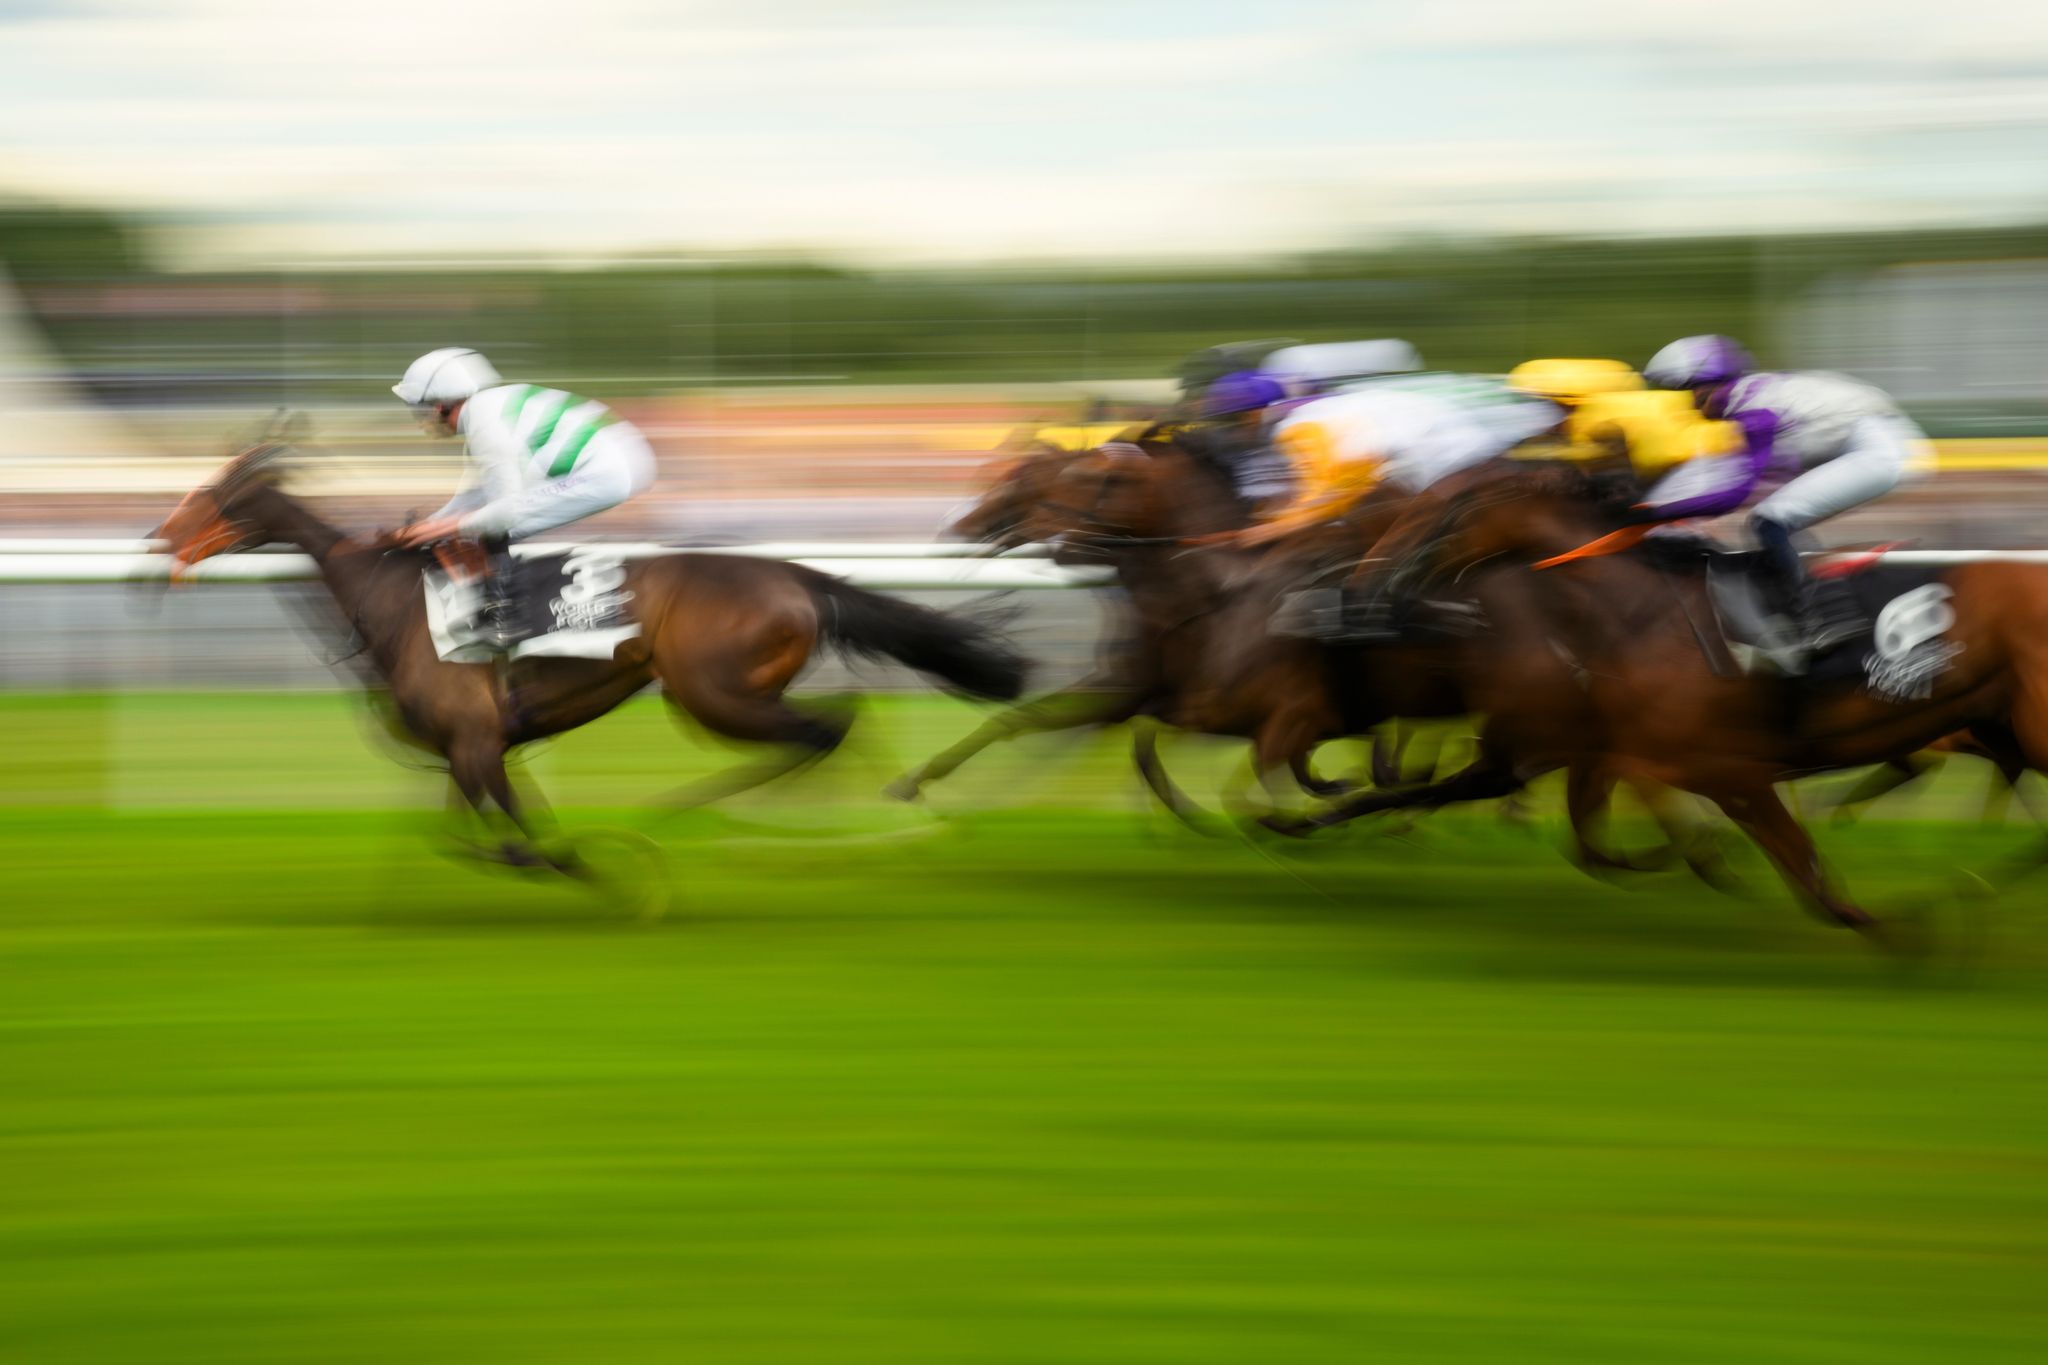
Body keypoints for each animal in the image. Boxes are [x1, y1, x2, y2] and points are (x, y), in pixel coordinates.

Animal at [148, 431, 1024, 871]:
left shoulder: (477, 741)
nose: (158, 535)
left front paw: (596, 864)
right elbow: (465, 835)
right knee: (830, 728)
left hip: (712, 693)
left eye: (214, 495)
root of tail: (795, 575)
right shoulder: (471, 747)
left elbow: (522, 840)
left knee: (824, 728)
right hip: (723, 694)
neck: (391, 601)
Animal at [1294, 458, 2048, 929]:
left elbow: (1811, 880)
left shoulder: (1725, 770)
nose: (1360, 586)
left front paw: (1905, 927)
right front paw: (1307, 822)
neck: (1634, 613)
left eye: (1439, 510)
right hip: (2001, 727)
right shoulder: (1584, 751)